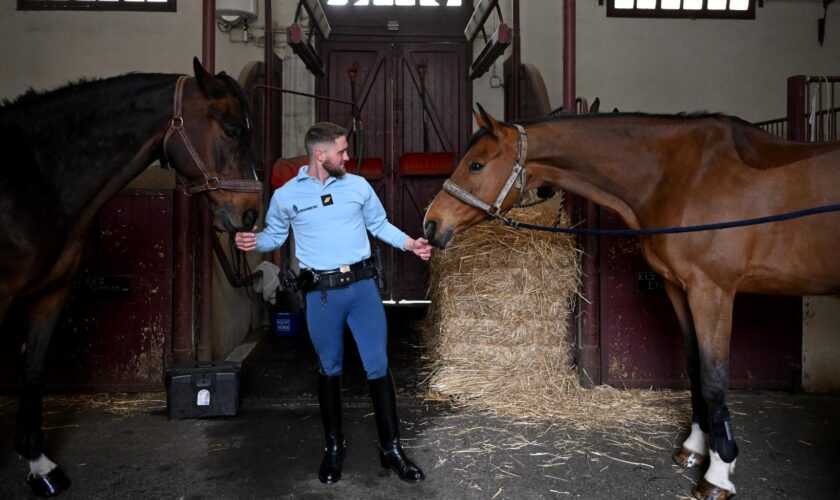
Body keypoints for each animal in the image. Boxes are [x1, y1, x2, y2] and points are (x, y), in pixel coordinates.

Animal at [0, 58, 262, 496]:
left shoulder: (51, 293)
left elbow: (34, 370)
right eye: (231, 129)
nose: (250, 213)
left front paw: (42, 466)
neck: (39, 176)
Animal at [424, 103, 840, 498]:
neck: (682, 176)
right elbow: (693, 368)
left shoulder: (712, 291)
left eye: (476, 164)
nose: (431, 223)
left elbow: (714, 378)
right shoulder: (678, 287)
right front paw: (693, 448)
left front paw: (718, 476)